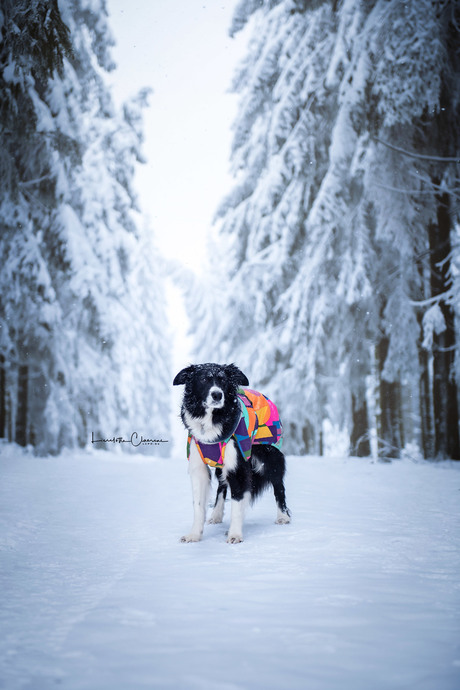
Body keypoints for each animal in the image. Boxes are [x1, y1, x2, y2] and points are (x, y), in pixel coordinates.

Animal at [173, 362, 292, 540]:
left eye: (222, 380)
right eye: (203, 379)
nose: (217, 395)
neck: (212, 420)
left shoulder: (238, 466)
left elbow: (237, 501)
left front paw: (235, 534)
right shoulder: (199, 467)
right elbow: (199, 505)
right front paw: (194, 535)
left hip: (270, 455)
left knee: (278, 485)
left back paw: (283, 516)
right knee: (222, 485)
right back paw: (216, 514)